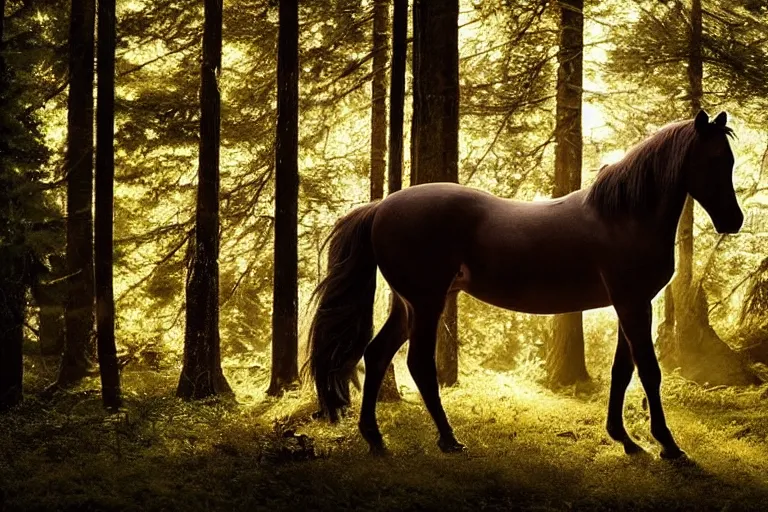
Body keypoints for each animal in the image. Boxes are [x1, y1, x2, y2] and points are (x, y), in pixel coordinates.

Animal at [304, 110, 744, 458]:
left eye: (730, 160)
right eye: (714, 159)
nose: (733, 221)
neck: (622, 216)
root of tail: (381, 206)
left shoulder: (629, 304)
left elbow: (623, 370)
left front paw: (625, 439)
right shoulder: (634, 304)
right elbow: (649, 371)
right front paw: (667, 444)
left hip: (408, 304)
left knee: (377, 354)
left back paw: (375, 438)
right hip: (427, 303)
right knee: (419, 365)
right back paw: (448, 439)